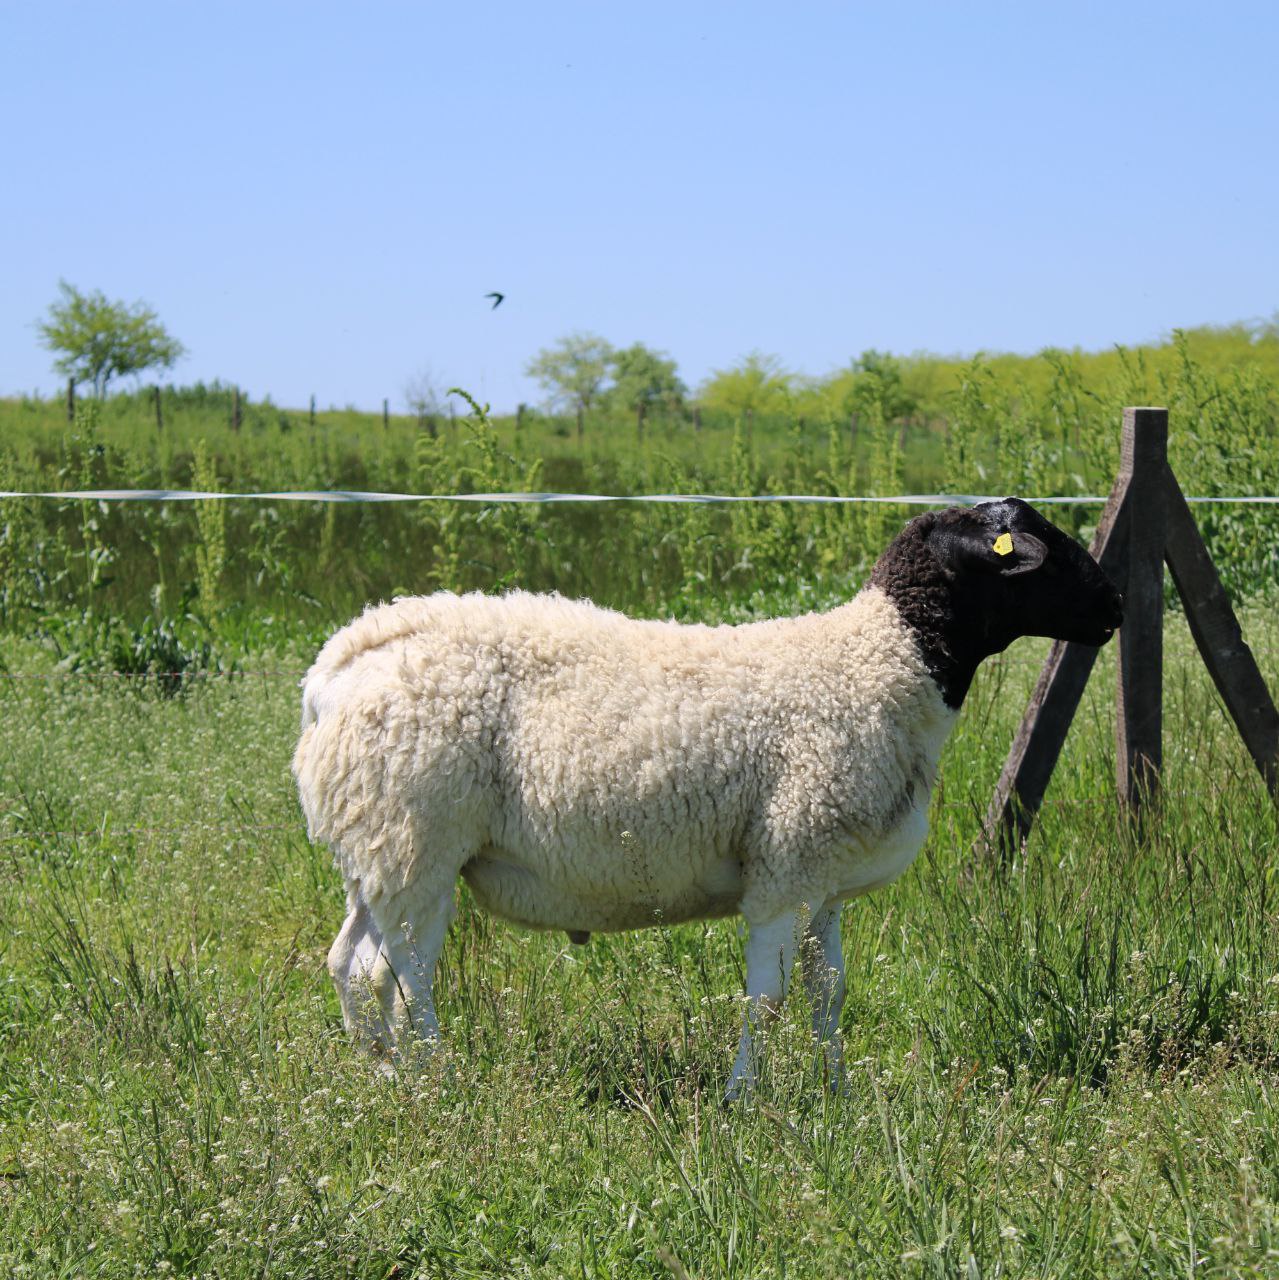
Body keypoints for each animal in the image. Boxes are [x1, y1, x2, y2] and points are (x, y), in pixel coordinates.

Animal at [290, 494, 1121, 1095]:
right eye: (1034, 553)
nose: (1113, 609)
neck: (880, 662)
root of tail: (339, 663)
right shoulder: (786, 864)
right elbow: (767, 997)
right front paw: (741, 1097)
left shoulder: (821, 879)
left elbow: (828, 992)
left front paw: (838, 1095)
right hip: (418, 839)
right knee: (401, 972)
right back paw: (436, 1081)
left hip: (374, 848)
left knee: (350, 964)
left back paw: (379, 1076)